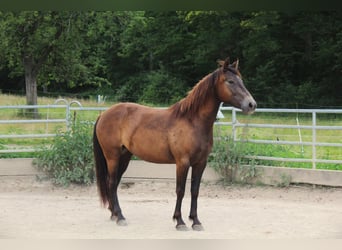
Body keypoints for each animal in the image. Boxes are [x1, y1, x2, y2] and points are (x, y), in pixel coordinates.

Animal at [92, 56, 255, 230]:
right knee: (111, 182)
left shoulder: (200, 163)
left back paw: (114, 214)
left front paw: (195, 221)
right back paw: (120, 217)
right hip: (112, 157)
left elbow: (195, 190)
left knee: (114, 183)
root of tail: (104, 114)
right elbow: (180, 190)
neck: (192, 121)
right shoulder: (182, 162)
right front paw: (180, 221)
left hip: (124, 157)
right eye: (230, 81)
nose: (251, 104)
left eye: (241, 80)